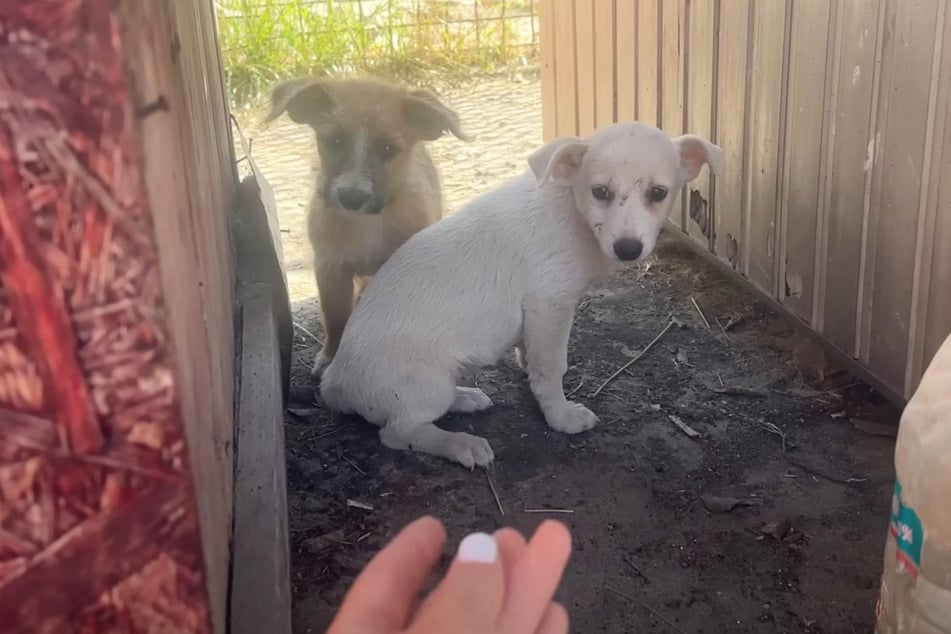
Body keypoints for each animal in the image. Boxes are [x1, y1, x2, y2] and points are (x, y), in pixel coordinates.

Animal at [264, 78, 468, 376]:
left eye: (388, 149)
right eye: (335, 141)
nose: (351, 197)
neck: (368, 222)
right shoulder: (330, 269)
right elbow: (336, 317)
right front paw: (331, 357)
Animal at [318, 122, 720, 464]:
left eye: (658, 193)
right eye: (600, 192)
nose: (627, 249)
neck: (571, 210)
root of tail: (335, 382)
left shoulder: (537, 315)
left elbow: (532, 356)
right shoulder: (550, 304)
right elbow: (551, 368)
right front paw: (561, 415)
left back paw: (465, 398)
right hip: (421, 385)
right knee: (398, 432)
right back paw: (460, 444)